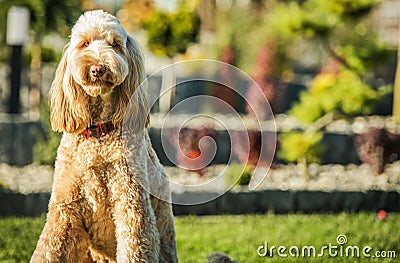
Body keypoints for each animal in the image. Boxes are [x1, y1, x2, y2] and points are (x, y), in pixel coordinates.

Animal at [29, 10, 177, 263]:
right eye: (84, 44)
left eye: (115, 44)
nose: (98, 68)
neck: (99, 133)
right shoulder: (64, 209)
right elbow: (47, 250)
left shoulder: (132, 208)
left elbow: (133, 247)